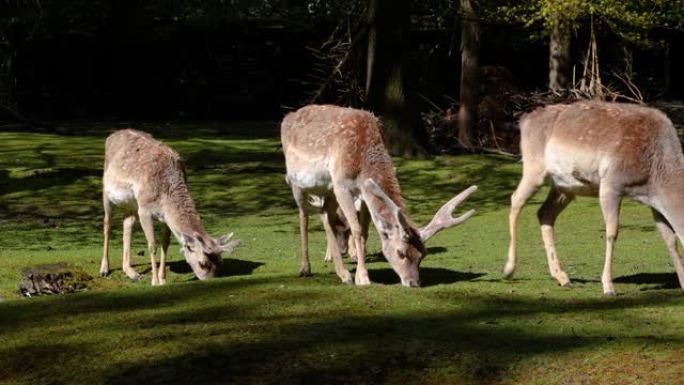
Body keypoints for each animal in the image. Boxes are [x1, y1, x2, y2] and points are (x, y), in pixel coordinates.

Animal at [100, 130, 240, 284]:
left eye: (220, 262)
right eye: (202, 263)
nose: (209, 281)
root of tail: (111, 135)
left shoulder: (165, 216)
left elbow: (165, 243)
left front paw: (163, 279)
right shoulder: (144, 210)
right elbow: (152, 245)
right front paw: (155, 281)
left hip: (131, 203)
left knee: (127, 223)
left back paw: (132, 272)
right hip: (107, 192)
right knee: (107, 225)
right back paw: (104, 269)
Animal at [280, 103, 478, 286]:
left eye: (422, 255)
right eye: (400, 253)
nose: (413, 283)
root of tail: (287, 117)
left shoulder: (360, 192)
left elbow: (364, 230)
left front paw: (356, 272)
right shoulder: (341, 185)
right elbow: (356, 229)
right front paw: (362, 277)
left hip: (327, 191)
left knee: (326, 218)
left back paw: (343, 274)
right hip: (296, 183)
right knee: (303, 215)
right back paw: (305, 268)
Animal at [502, 100, 684, 296]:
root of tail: (525, 120)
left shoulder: (653, 202)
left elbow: (669, 238)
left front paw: (682, 282)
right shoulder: (611, 184)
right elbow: (612, 232)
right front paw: (608, 287)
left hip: (564, 188)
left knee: (544, 213)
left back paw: (563, 278)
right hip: (534, 168)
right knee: (515, 200)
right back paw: (508, 269)